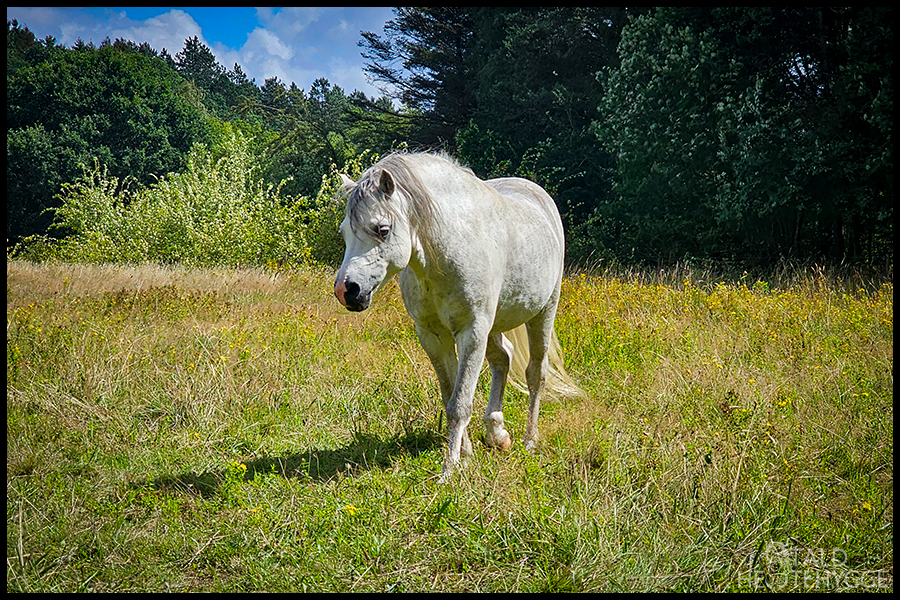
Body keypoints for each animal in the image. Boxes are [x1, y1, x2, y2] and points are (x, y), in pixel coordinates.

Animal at [333, 152, 583, 480]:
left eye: (382, 229)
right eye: (345, 232)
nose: (346, 290)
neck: (446, 250)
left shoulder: (471, 333)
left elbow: (460, 403)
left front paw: (449, 470)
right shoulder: (433, 337)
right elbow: (449, 394)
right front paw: (465, 454)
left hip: (542, 313)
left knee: (535, 374)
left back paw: (530, 440)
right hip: (494, 326)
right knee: (503, 359)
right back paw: (497, 433)